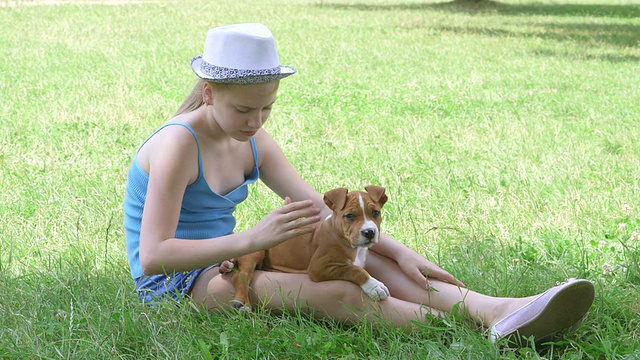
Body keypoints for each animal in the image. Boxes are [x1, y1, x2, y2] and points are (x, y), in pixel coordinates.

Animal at [230, 186, 390, 310]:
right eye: (349, 216)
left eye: (376, 213)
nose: (369, 232)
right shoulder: (319, 267)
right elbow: (354, 270)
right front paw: (375, 286)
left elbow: (357, 267)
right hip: (256, 251)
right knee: (241, 277)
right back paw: (243, 304)